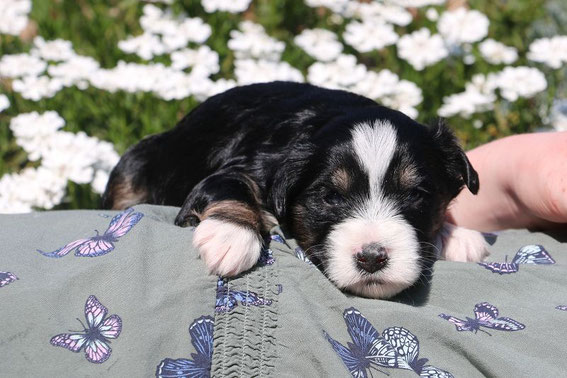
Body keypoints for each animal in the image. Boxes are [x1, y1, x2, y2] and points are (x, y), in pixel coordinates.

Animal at [104, 82, 490, 298]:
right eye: (331, 197)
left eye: (415, 196)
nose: (371, 258)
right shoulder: (246, 165)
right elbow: (228, 185)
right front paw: (230, 237)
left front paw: (456, 236)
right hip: (134, 163)